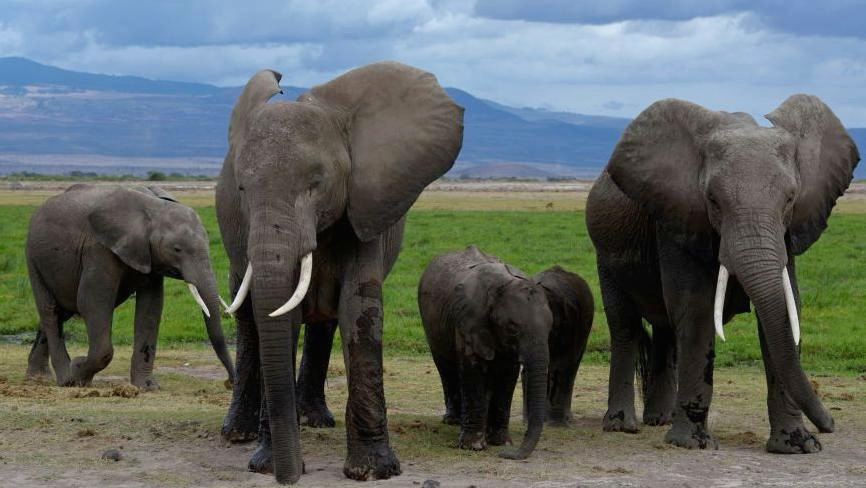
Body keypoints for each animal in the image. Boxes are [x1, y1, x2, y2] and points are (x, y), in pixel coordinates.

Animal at [25, 184, 235, 390]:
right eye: (177, 249)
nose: (230, 383)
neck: (153, 209)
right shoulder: (99, 249)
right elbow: (92, 302)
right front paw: (78, 373)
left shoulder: (149, 256)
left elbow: (151, 308)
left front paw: (147, 386)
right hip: (33, 258)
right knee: (50, 311)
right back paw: (65, 378)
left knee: (62, 312)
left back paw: (38, 377)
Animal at [216, 62, 463, 483]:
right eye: (242, 189)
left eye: (316, 183)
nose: (290, 477)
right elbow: (281, 317)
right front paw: (265, 465)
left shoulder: (365, 207)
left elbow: (358, 312)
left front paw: (374, 471)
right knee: (249, 321)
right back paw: (237, 434)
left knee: (324, 322)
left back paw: (314, 420)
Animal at [418, 246, 561, 460]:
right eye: (513, 329)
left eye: (550, 328)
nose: (506, 455)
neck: (502, 286)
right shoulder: (468, 321)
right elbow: (474, 371)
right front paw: (474, 446)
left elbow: (507, 375)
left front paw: (500, 443)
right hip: (431, 325)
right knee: (446, 368)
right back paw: (453, 421)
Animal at [585, 95, 859, 453]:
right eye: (713, 200)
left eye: (790, 199)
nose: (830, 426)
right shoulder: (678, 218)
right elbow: (697, 310)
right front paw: (692, 445)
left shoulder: (786, 233)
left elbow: (785, 312)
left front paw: (798, 446)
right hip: (605, 254)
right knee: (625, 326)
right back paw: (622, 426)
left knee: (666, 330)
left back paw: (660, 420)